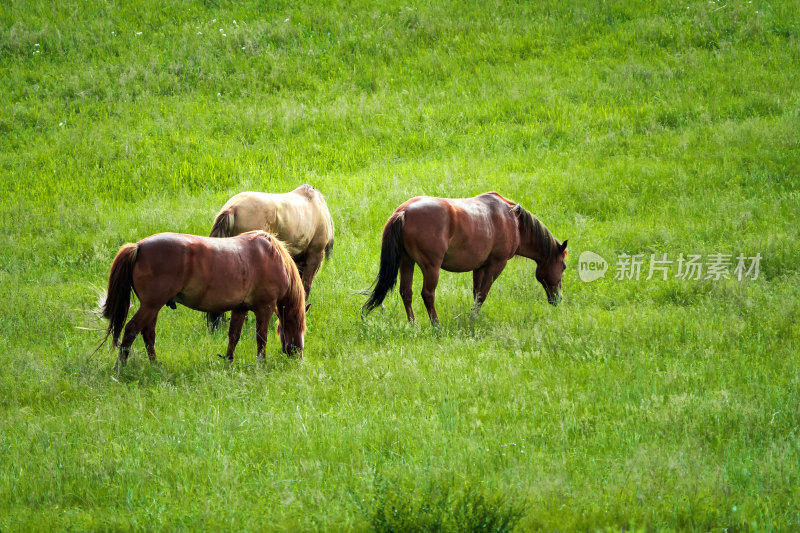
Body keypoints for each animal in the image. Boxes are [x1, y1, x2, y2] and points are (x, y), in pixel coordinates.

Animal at [103, 231, 306, 368]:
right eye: (300, 328)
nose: (298, 358)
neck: (273, 256)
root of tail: (139, 246)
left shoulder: (240, 308)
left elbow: (234, 336)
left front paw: (229, 362)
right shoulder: (265, 307)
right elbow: (261, 337)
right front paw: (260, 364)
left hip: (152, 307)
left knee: (148, 334)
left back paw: (155, 365)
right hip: (151, 306)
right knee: (131, 330)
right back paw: (120, 367)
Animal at [362, 191, 568, 324]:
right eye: (563, 267)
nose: (558, 299)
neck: (513, 220)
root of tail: (403, 211)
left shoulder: (480, 266)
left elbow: (476, 293)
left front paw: (473, 316)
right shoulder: (496, 264)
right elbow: (483, 293)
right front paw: (473, 319)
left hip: (407, 262)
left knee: (406, 292)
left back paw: (413, 324)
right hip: (431, 267)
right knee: (427, 294)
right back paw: (436, 325)